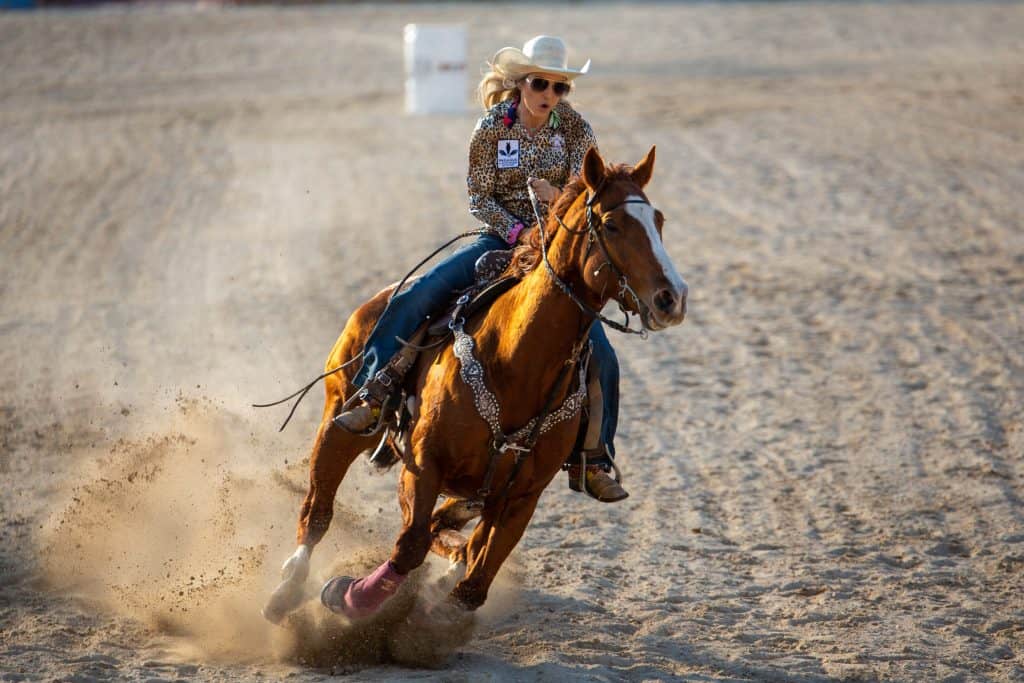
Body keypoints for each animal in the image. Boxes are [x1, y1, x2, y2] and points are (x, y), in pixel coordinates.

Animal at [262, 145, 688, 626]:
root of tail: (381, 297)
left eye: (659, 221)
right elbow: (409, 546)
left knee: (453, 532)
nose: (673, 298)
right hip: (340, 416)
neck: (515, 360)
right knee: (318, 506)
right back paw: (286, 590)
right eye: (612, 224)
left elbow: (473, 582)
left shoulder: (522, 495)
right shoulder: (423, 462)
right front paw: (345, 596)